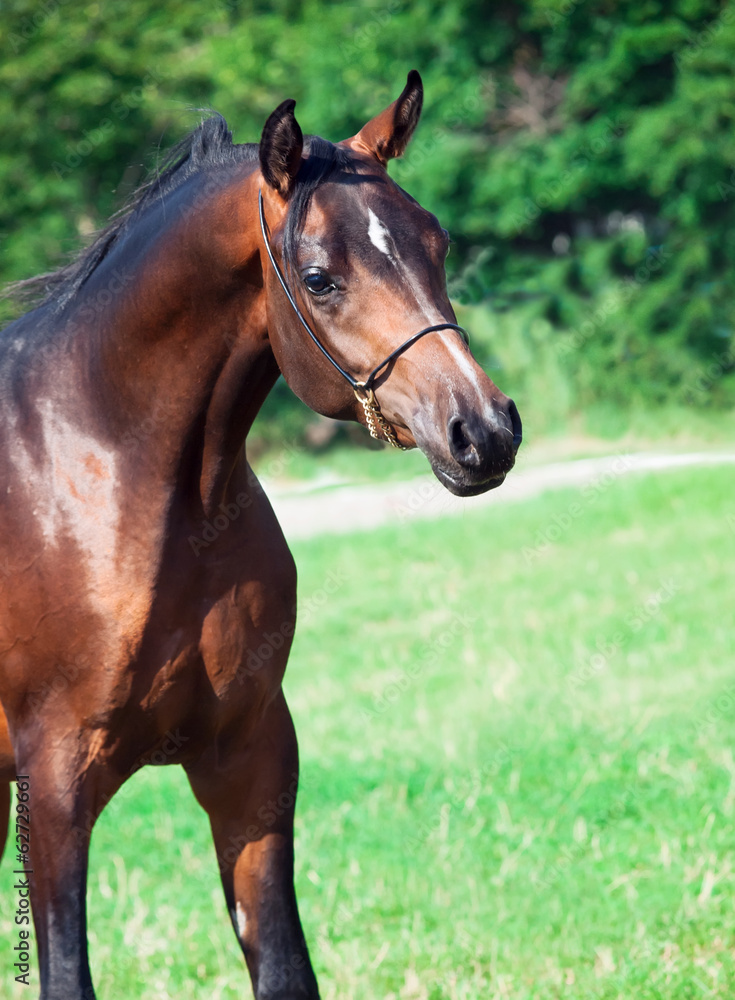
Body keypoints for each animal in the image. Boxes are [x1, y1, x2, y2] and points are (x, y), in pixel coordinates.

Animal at [0, 70, 521, 999]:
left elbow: (283, 970)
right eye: (317, 277)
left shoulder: (250, 760)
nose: (483, 432)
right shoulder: (54, 783)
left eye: (436, 241)